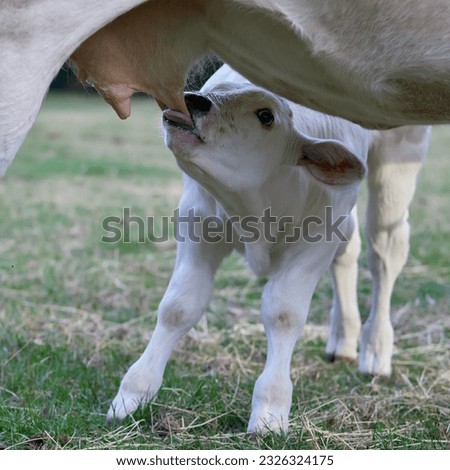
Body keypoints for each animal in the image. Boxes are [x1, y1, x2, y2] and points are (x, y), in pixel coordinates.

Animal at [107, 67, 430, 434]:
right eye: (211, 87)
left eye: (266, 115)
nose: (191, 100)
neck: (254, 206)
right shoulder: (197, 226)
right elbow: (178, 306)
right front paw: (133, 393)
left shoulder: (316, 241)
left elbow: (283, 312)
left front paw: (270, 410)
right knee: (350, 248)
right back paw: (343, 338)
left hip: (401, 155)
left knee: (384, 252)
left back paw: (375, 349)